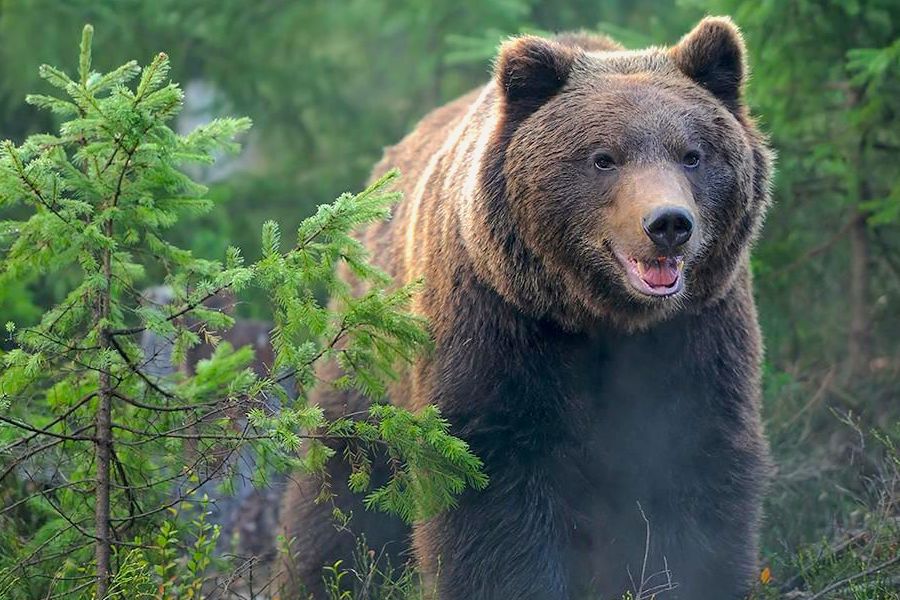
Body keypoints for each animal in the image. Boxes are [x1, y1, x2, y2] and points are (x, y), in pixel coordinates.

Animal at [280, 16, 772, 596]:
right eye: (604, 157)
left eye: (692, 154)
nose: (669, 223)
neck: (603, 316)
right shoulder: (499, 322)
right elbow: (493, 482)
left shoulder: (697, 331)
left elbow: (695, 465)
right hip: (372, 352)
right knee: (342, 475)